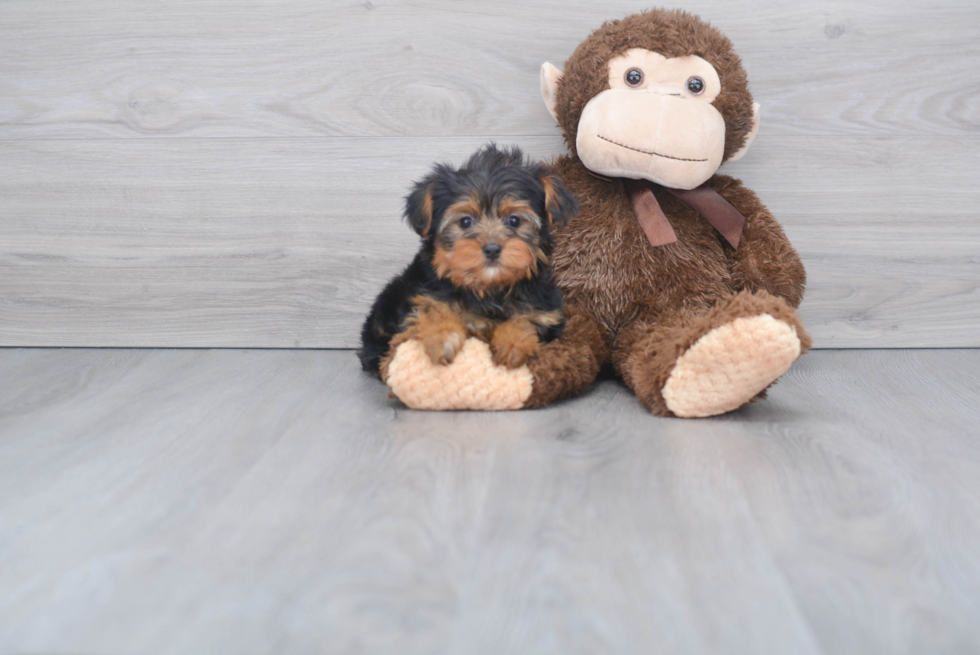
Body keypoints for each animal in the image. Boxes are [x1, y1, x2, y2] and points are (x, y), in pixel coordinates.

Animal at [358, 144, 576, 380]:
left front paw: (512, 344)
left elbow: (525, 319)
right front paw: (443, 339)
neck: (488, 289)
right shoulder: (424, 293)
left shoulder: (546, 313)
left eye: (514, 220)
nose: (492, 248)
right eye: (465, 221)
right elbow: (434, 308)